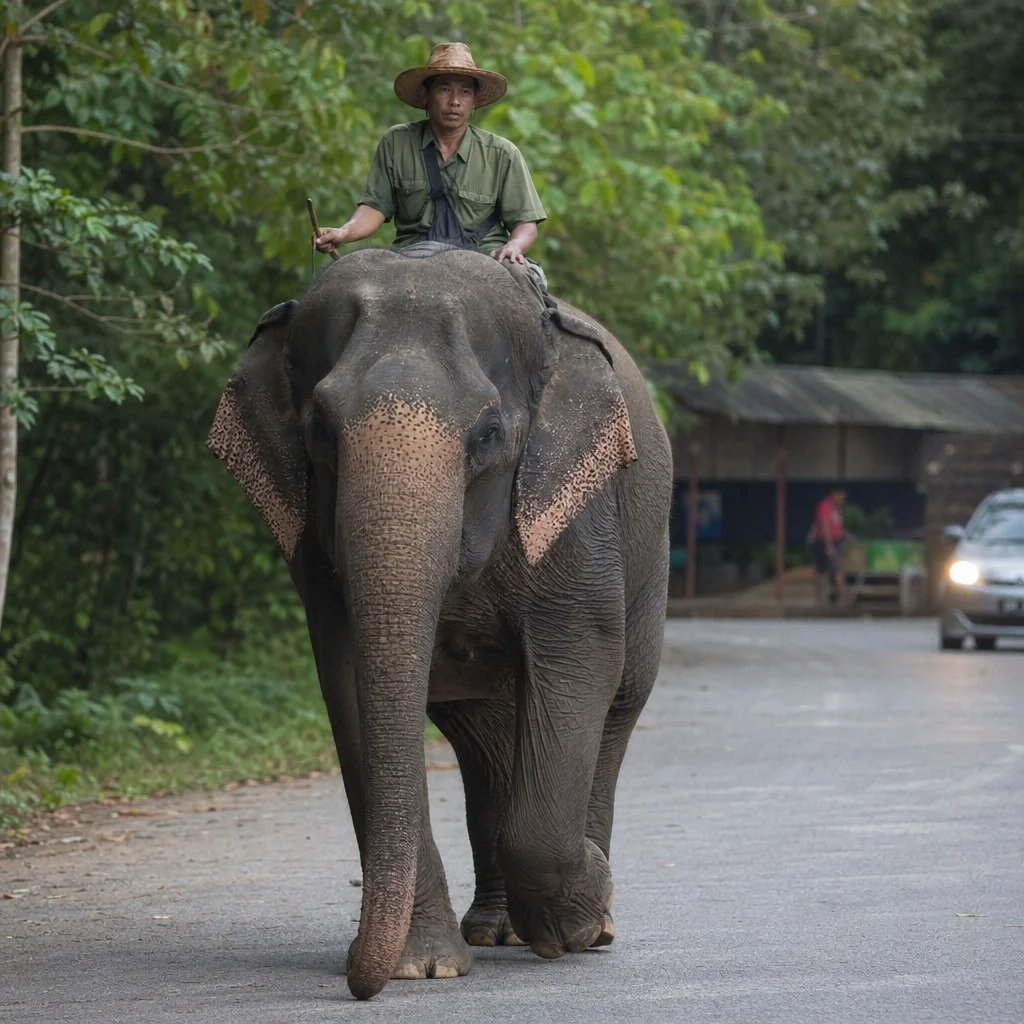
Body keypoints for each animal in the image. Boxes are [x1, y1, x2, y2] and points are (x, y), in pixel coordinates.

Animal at [206, 243, 673, 1000]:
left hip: (648, 548)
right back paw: (496, 931)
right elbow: (348, 678)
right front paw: (422, 966)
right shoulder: (315, 547)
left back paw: (590, 923)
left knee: (618, 705)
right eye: (320, 429)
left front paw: (579, 917)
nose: (357, 983)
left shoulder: (574, 510)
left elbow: (581, 656)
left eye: (488, 432)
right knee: (485, 747)